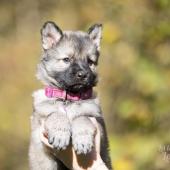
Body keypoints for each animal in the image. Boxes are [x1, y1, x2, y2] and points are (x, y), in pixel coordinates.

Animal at [28, 21, 112, 170]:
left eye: (90, 62)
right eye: (66, 59)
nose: (83, 75)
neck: (68, 99)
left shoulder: (99, 125)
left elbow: (82, 117)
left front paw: (83, 139)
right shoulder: (38, 125)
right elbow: (55, 114)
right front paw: (60, 133)